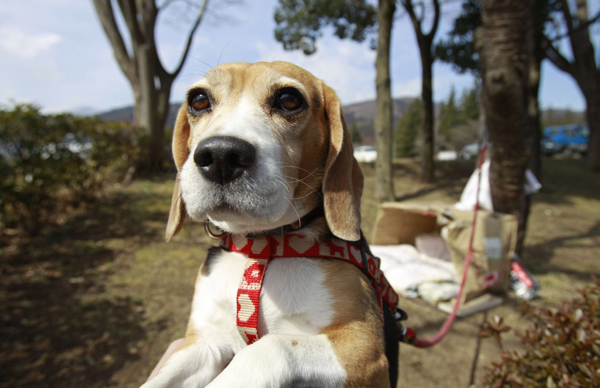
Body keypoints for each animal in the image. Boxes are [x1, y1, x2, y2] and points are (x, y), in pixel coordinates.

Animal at [142, 62, 398, 386]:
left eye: (289, 100)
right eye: (198, 100)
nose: (220, 155)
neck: (261, 247)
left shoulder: (365, 349)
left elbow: (270, 348)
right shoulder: (204, 341)